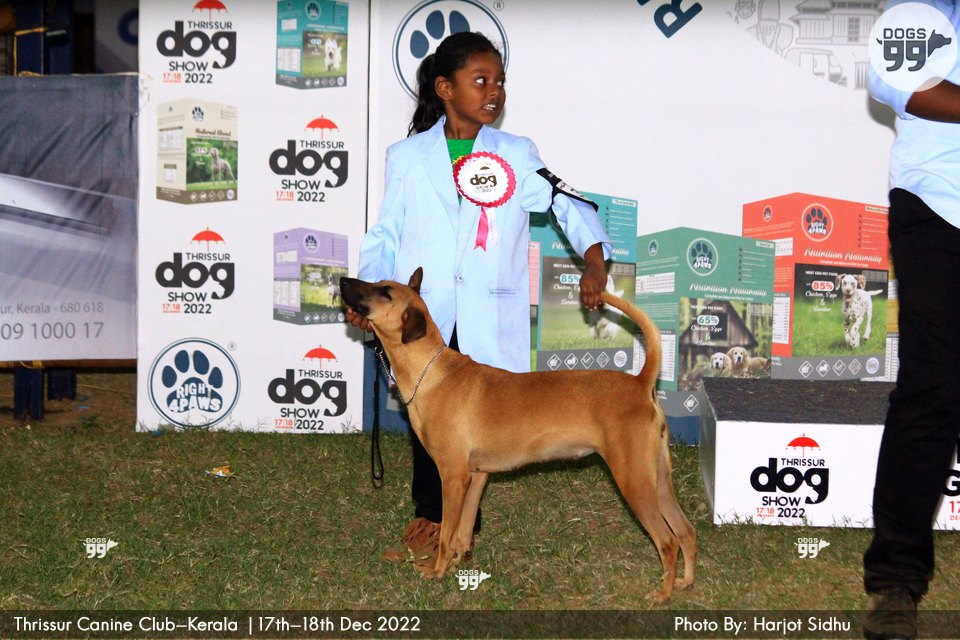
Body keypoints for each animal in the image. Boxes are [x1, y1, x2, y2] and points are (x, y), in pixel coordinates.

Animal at [340, 268, 696, 603]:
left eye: (385, 292)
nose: (343, 281)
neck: (431, 373)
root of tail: (640, 383)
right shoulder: (476, 477)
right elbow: (461, 534)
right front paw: (455, 566)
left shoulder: (453, 477)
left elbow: (446, 535)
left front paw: (437, 571)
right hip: (658, 482)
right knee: (686, 532)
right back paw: (685, 582)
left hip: (634, 482)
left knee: (668, 541)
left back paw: (662, 594)